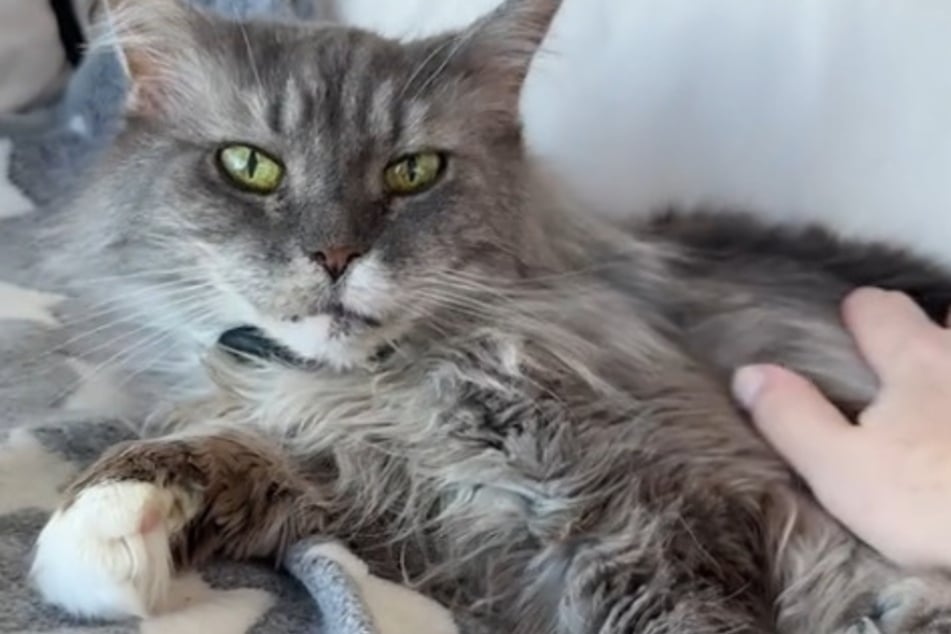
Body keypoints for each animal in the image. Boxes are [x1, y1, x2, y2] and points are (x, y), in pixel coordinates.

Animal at [24, 1, 951, 632]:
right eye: (250, 167)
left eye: (413, 172)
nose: (334, 254)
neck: (390, 390)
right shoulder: (381, 497)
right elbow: (221, 450)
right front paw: (98, 529)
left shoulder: (669, 504)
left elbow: (684, 614)